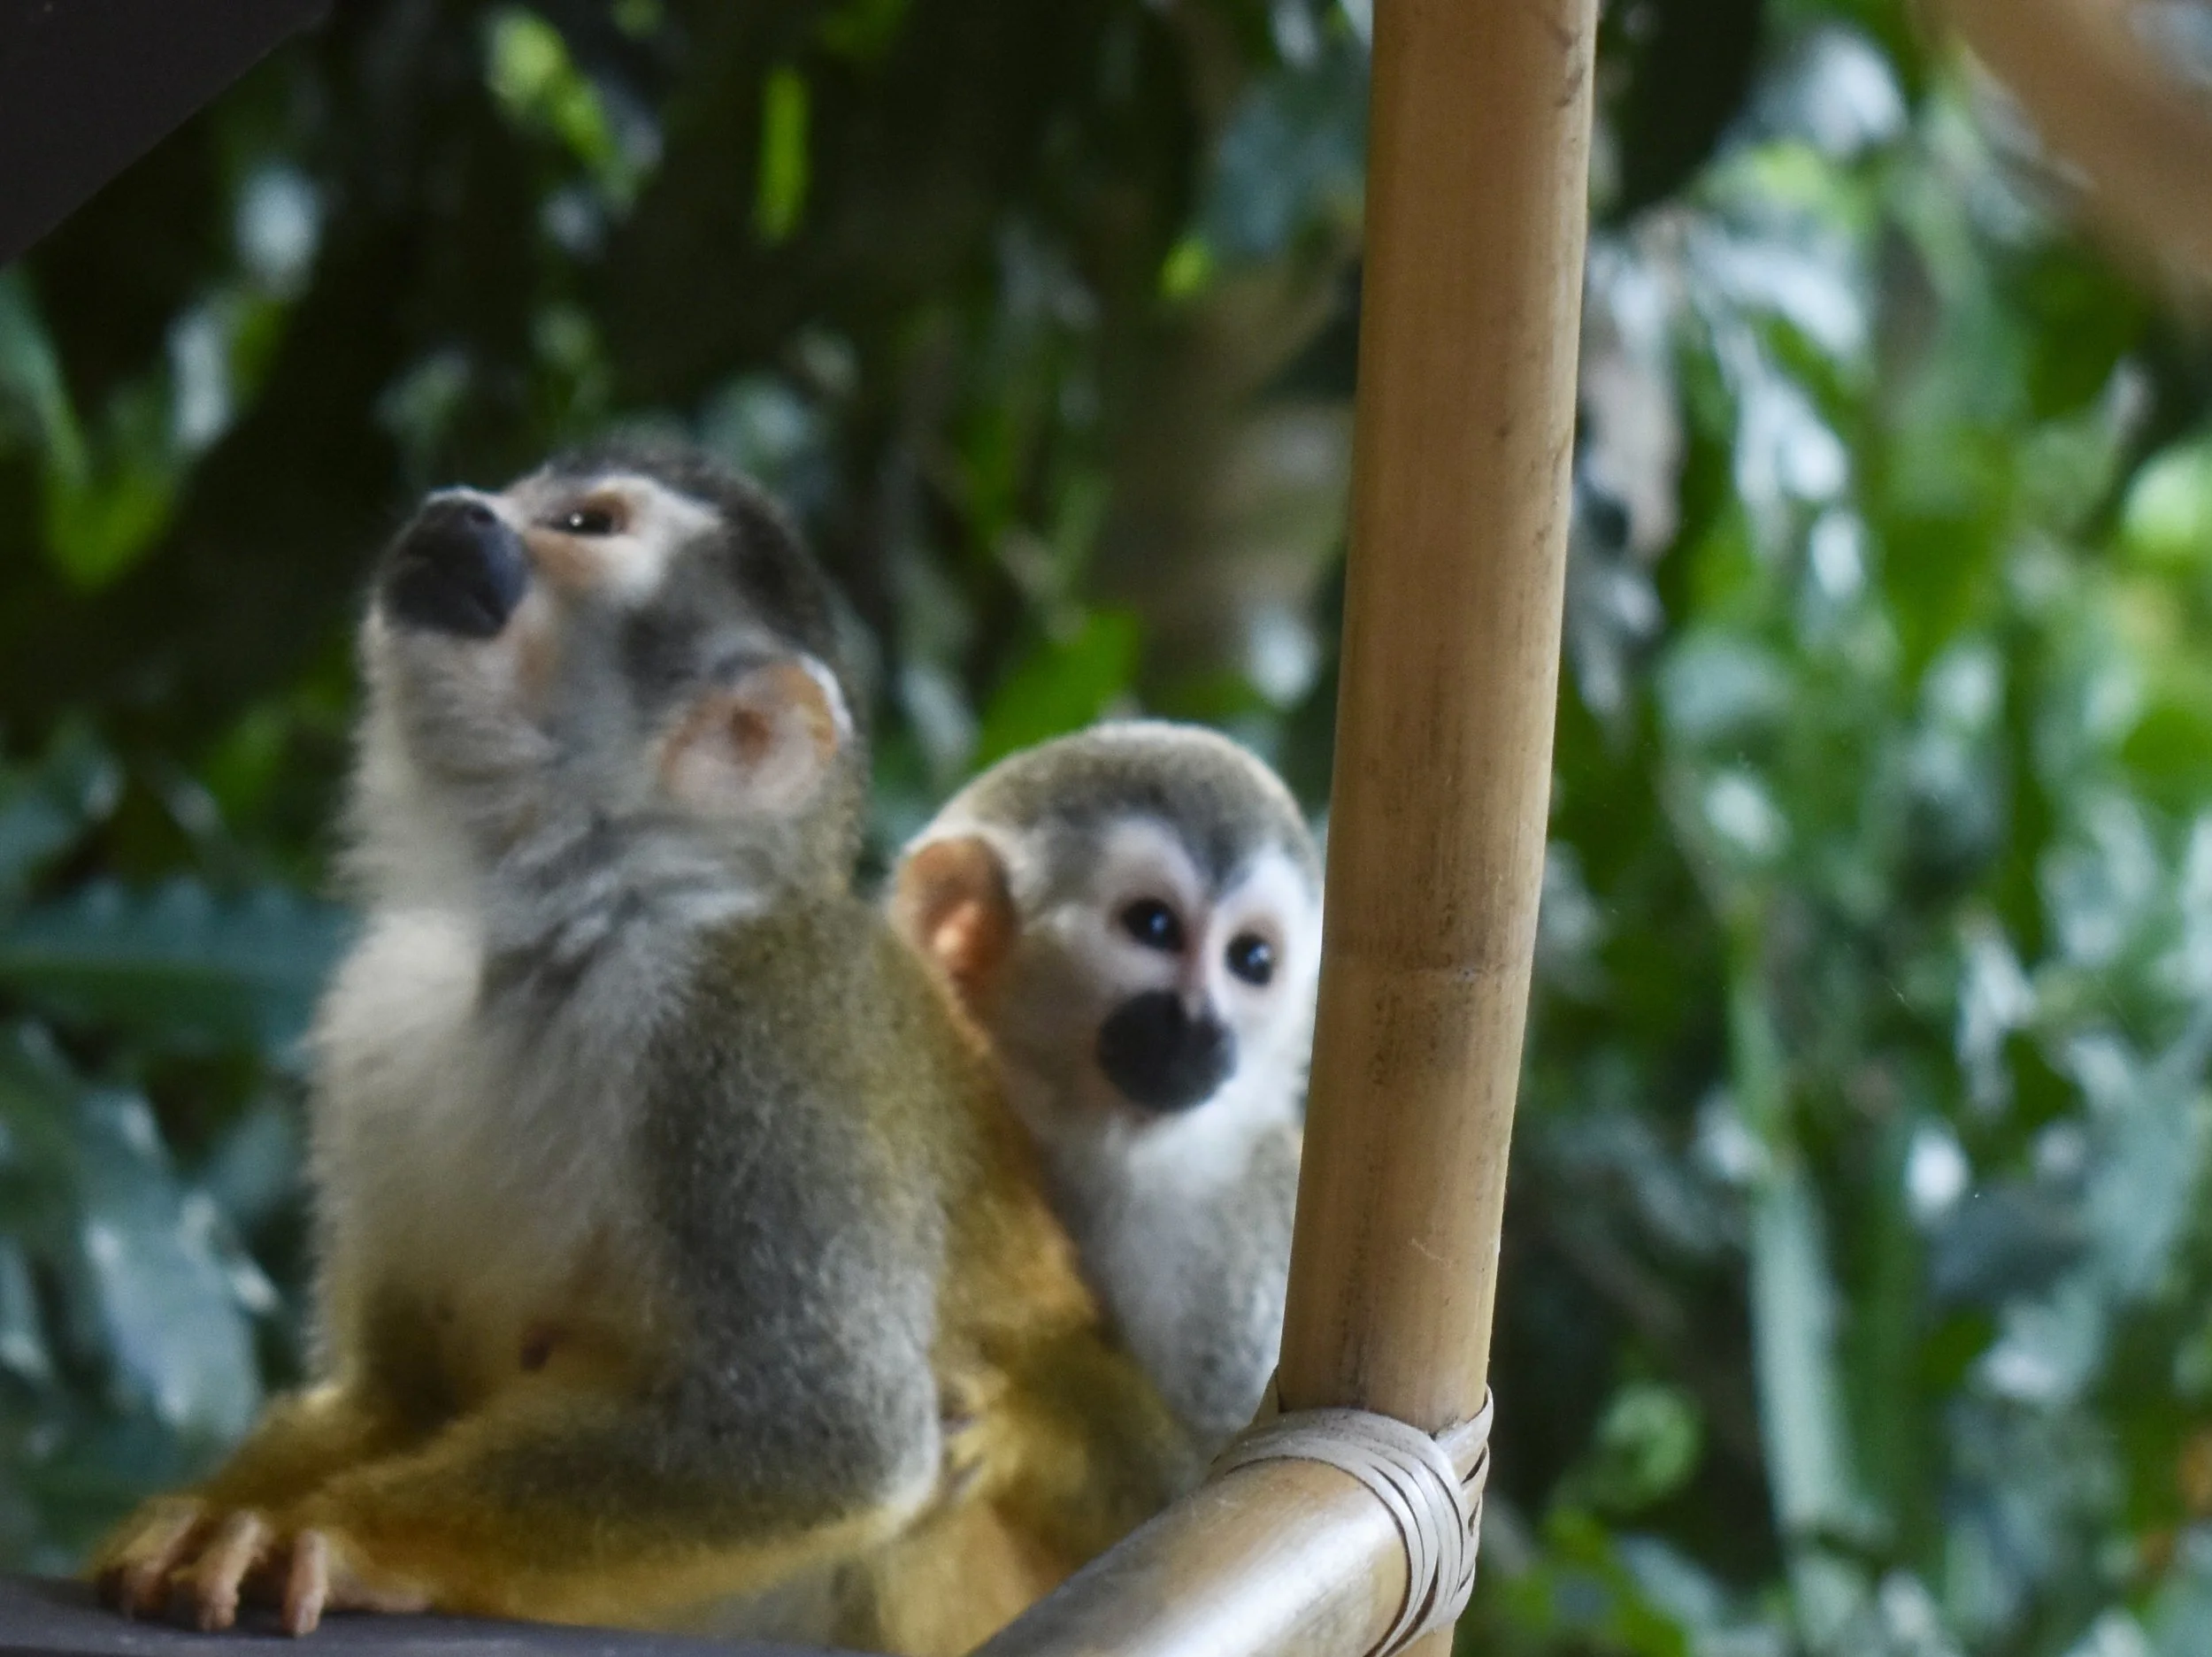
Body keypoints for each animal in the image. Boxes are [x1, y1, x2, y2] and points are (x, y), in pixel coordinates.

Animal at [88, 442, 1187, 1646]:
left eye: (585, 524)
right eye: (528, 496)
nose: (455, 508)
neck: (580, 922)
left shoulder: (753, 1024)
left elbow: (819, 1439)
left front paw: (337, 1537)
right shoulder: (382, 1009)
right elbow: (398, 1390)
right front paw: (205, 1520)